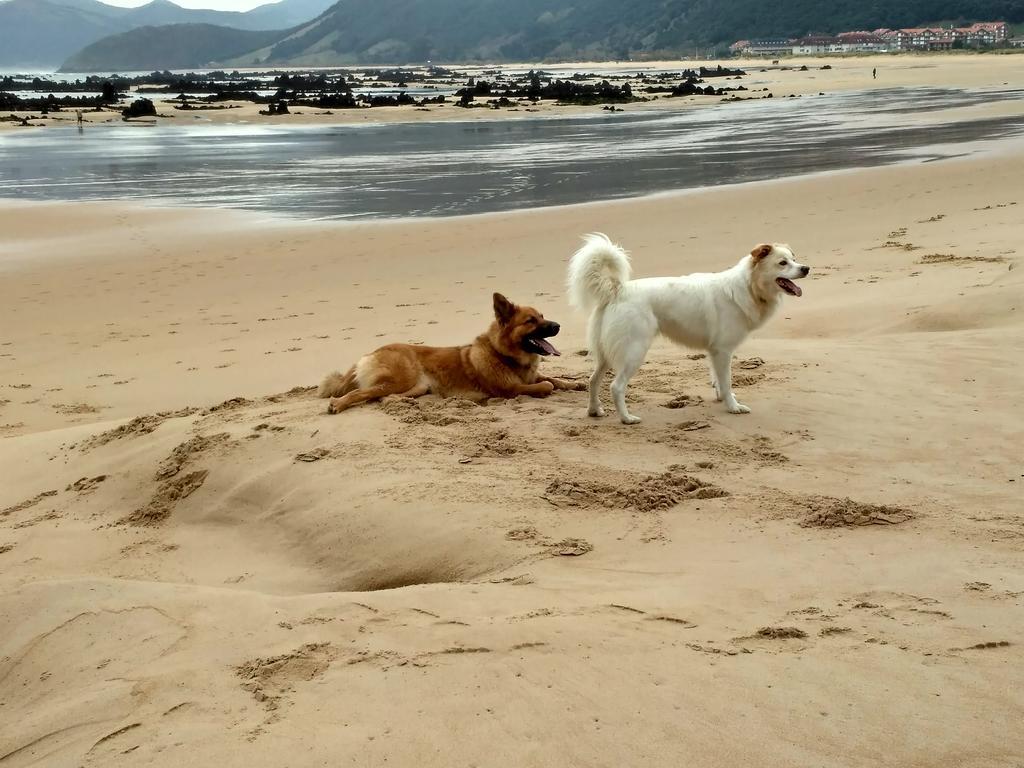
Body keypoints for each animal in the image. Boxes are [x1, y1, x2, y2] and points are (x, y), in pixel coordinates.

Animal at [315, 292, 589, 415]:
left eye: (542, 316)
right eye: (531, 321)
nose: (557, 326)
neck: (503, 354)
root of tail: (373, 351)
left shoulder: (531, 377)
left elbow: (554, 379)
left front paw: (575, 384)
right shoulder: (512, 389)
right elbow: (546, 385)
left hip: (415, 387)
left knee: (382, 396)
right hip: (400, 379)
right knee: (360, 392)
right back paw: (338, 404)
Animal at [565, 234, 811, 428]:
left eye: (794, 259)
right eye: (782, 263)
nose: (806, 268)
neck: (749, 287)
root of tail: (618, 290)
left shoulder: (714, 351)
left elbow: (718, 381)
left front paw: (722, 399)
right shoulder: (723, 351)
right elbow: (726, 381)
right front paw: (733, 406)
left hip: (606, 353)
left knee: (592, 380)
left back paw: (594, 411)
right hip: (634, 351)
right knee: (616, 387)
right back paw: (627, 418)